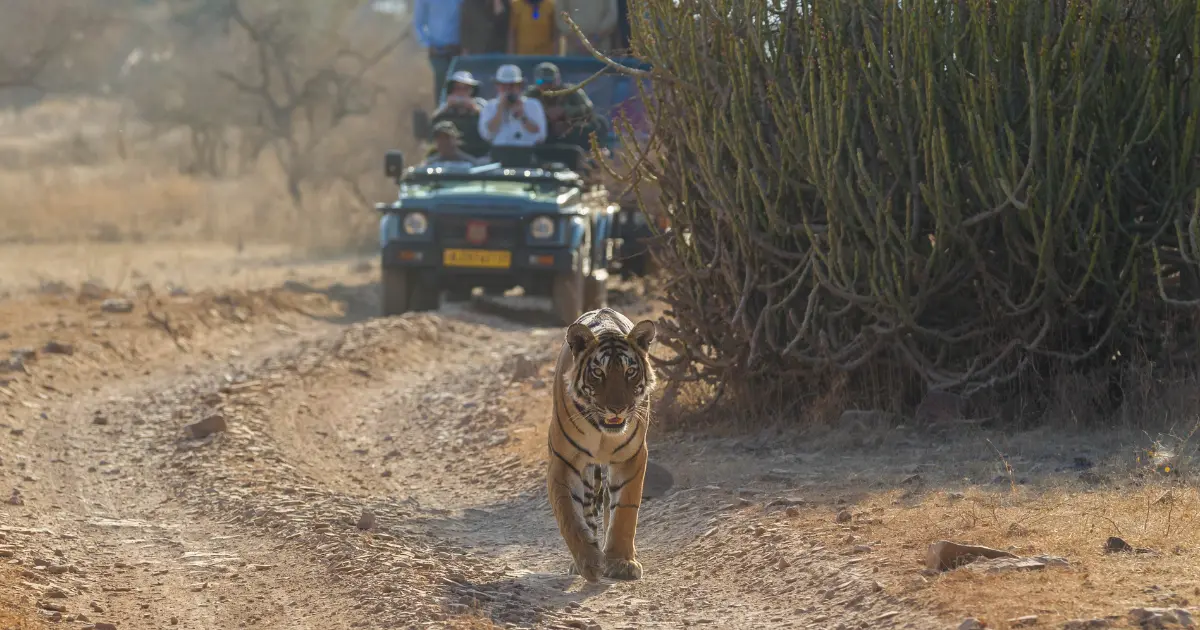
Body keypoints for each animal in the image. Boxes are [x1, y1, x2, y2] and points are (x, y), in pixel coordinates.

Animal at [549, 304, 662, 580]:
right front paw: (588, 561)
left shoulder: (631, 457)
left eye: (630, 372)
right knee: (588, 509)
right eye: (598, 373)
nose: (617, 408)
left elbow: (624, 512)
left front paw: (621, 561)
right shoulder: (564, 461)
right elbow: (569, 515)